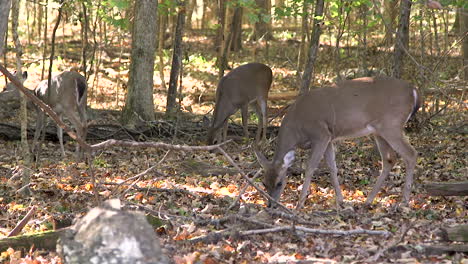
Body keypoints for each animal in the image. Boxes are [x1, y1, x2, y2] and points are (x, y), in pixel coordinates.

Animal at [256, 76, 420, 210]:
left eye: (280, 183)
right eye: (264, 183)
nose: (270, 205)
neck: (297, 128)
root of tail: (413, 90)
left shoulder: (321, 134)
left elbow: (310, 167)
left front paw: (299, 204)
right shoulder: (329, 139)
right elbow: (332, 167)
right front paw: (341, 201)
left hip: (391, 125)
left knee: (411, 154)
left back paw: (404, 202)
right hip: (379, 131)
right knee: (389, 159)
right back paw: (368, 201)